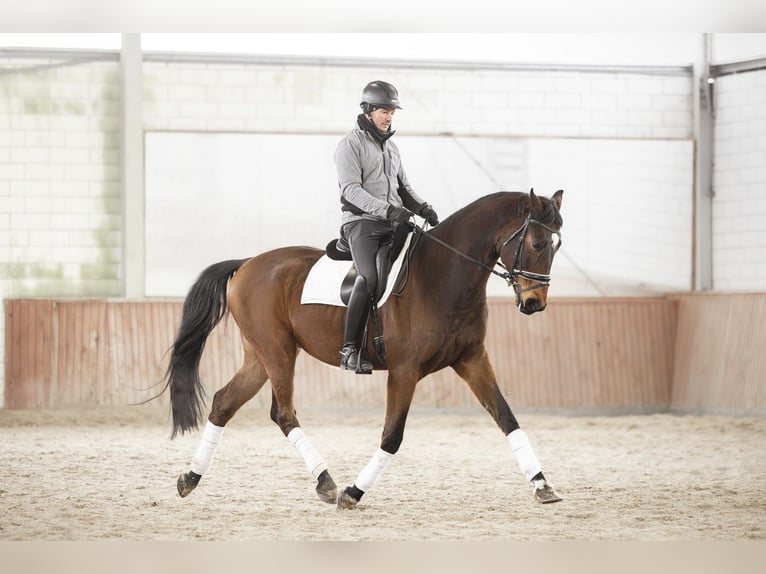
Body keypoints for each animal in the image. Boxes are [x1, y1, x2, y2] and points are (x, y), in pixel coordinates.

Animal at [163, 188, 564, 508]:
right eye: (536, 244)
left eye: (557, 245)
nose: (534, 303)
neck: (443, 276)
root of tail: (247, 263)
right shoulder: (405, 370)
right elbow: (392, 435)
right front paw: (353, 492)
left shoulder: (471, 359)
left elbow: (507, 418)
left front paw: (542, 485)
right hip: (277, 352)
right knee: (283, 413)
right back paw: (326, 482)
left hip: (260, 356)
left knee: (224, 402)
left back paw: (190, 478)